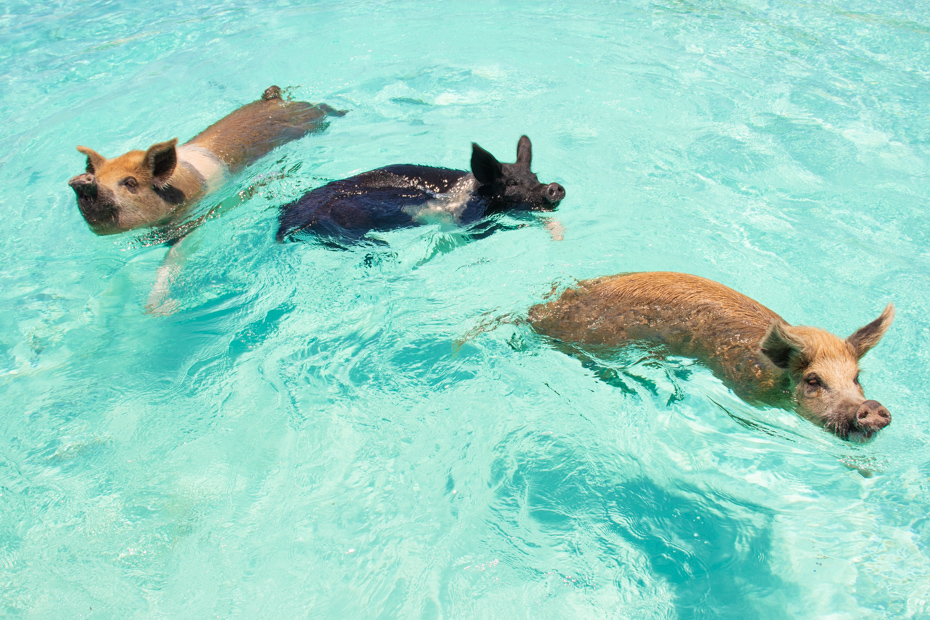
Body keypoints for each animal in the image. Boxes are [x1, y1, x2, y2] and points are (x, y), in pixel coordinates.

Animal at [69, 85, 346, 235]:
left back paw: (344, 112)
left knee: (324, 108)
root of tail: (273, 98)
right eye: (99, 177)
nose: (81, 180)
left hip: (311, 117)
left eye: (130, 183)